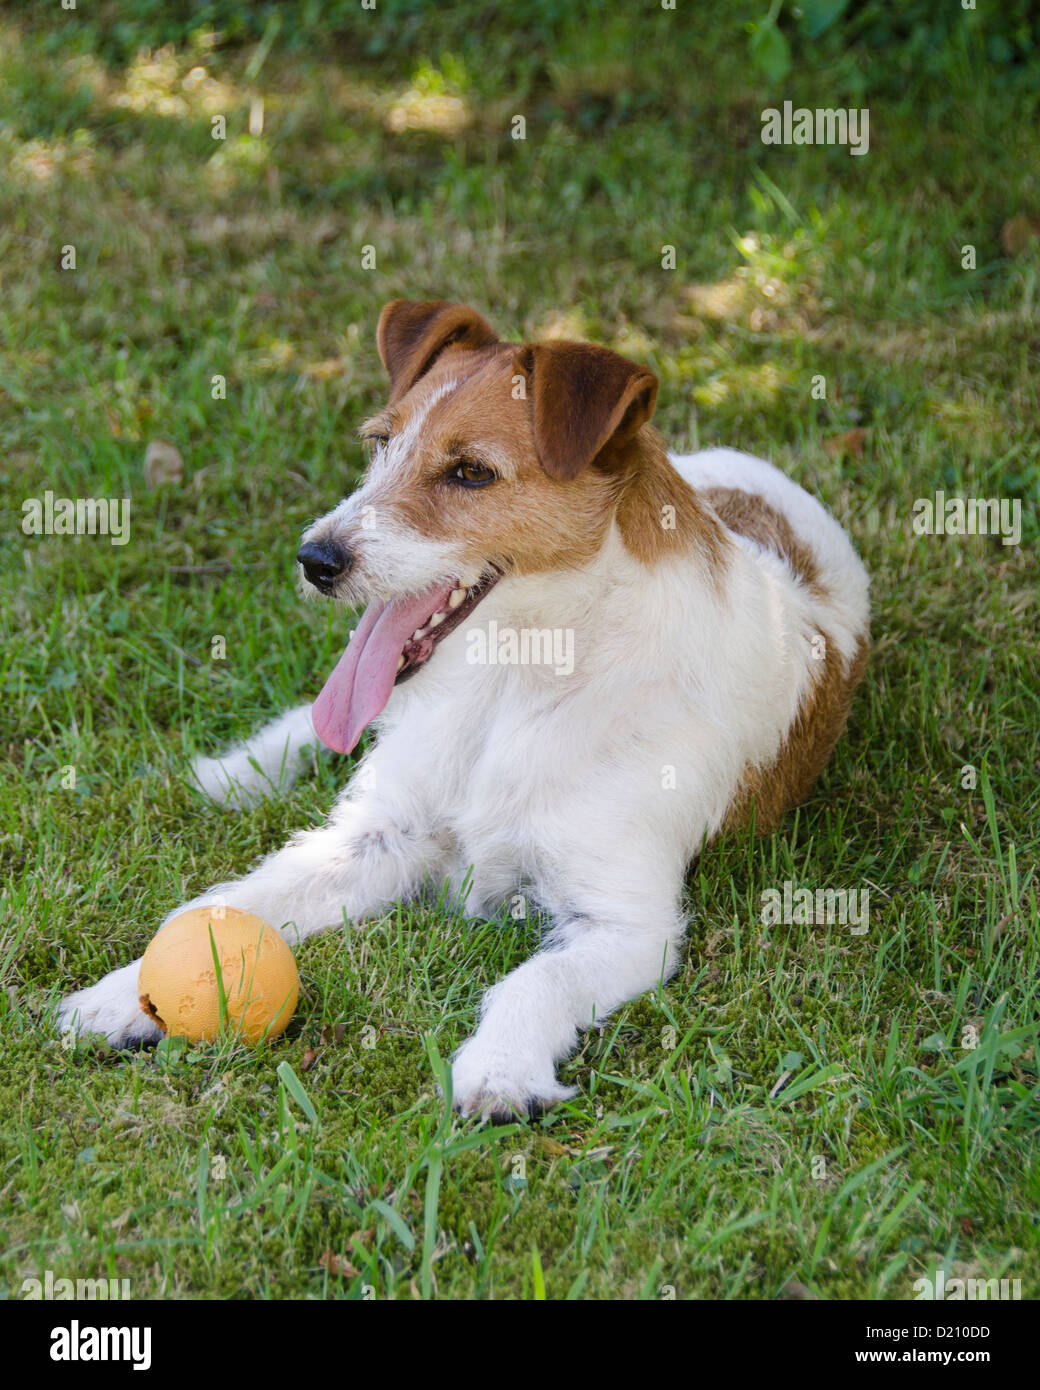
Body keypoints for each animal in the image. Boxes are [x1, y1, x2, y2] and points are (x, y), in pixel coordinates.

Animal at [57, 301, 867, 1117]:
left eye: (472, 472)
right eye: (381, 443)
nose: (315, 560)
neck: (516, 683)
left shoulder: (627, 923)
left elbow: (537, 980)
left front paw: (499, 1069)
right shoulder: (383, 835)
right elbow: (233, 902)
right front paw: (127, 992)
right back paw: (237, 773)